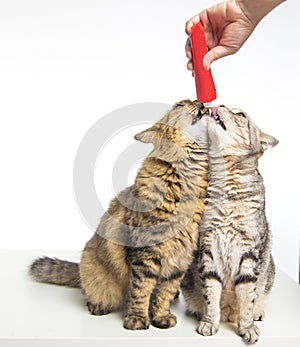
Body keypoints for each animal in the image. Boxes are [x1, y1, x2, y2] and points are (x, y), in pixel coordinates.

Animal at [29, 100, 210, 332]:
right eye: (181, 104)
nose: (200, 102)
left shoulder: (179, 260)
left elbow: (164, 293)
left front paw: (161, 316)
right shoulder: (144, 256)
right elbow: (140, 291)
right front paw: (137, 319)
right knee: (91, 291)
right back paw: (97, 304)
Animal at [179, 104, 278, 344]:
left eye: (241, 115)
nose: (220, 105)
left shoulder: (249, 254)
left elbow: (247, 297)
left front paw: (247, 326)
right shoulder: (207, 248)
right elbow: (211, 293)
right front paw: (209, 321)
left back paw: (257, 313)